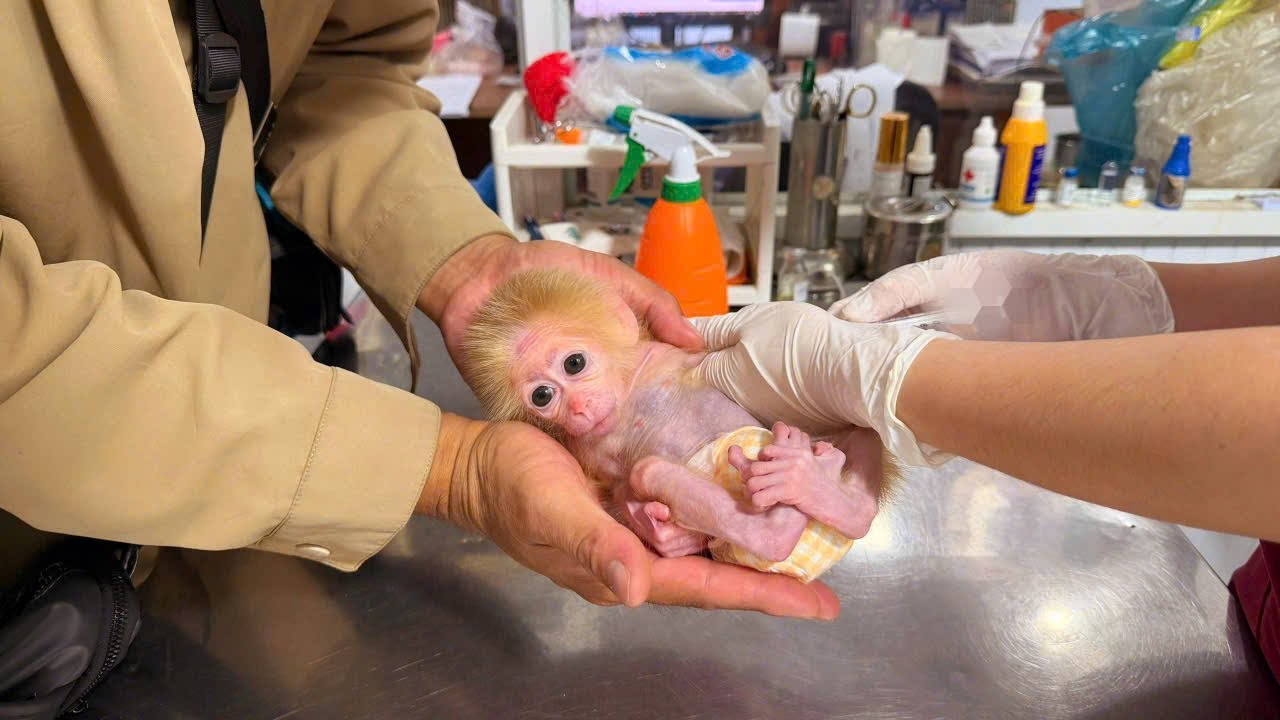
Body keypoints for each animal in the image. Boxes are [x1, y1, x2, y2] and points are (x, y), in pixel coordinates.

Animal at [462, 269, 897, 582]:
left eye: (574, 363)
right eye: (542, 396)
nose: (578, 409)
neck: (625, 395)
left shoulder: (671, 355)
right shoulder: (584, 448)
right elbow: (620, 489)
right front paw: (663, 534)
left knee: (862, 425)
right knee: (650, 471)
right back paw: (799, 496)